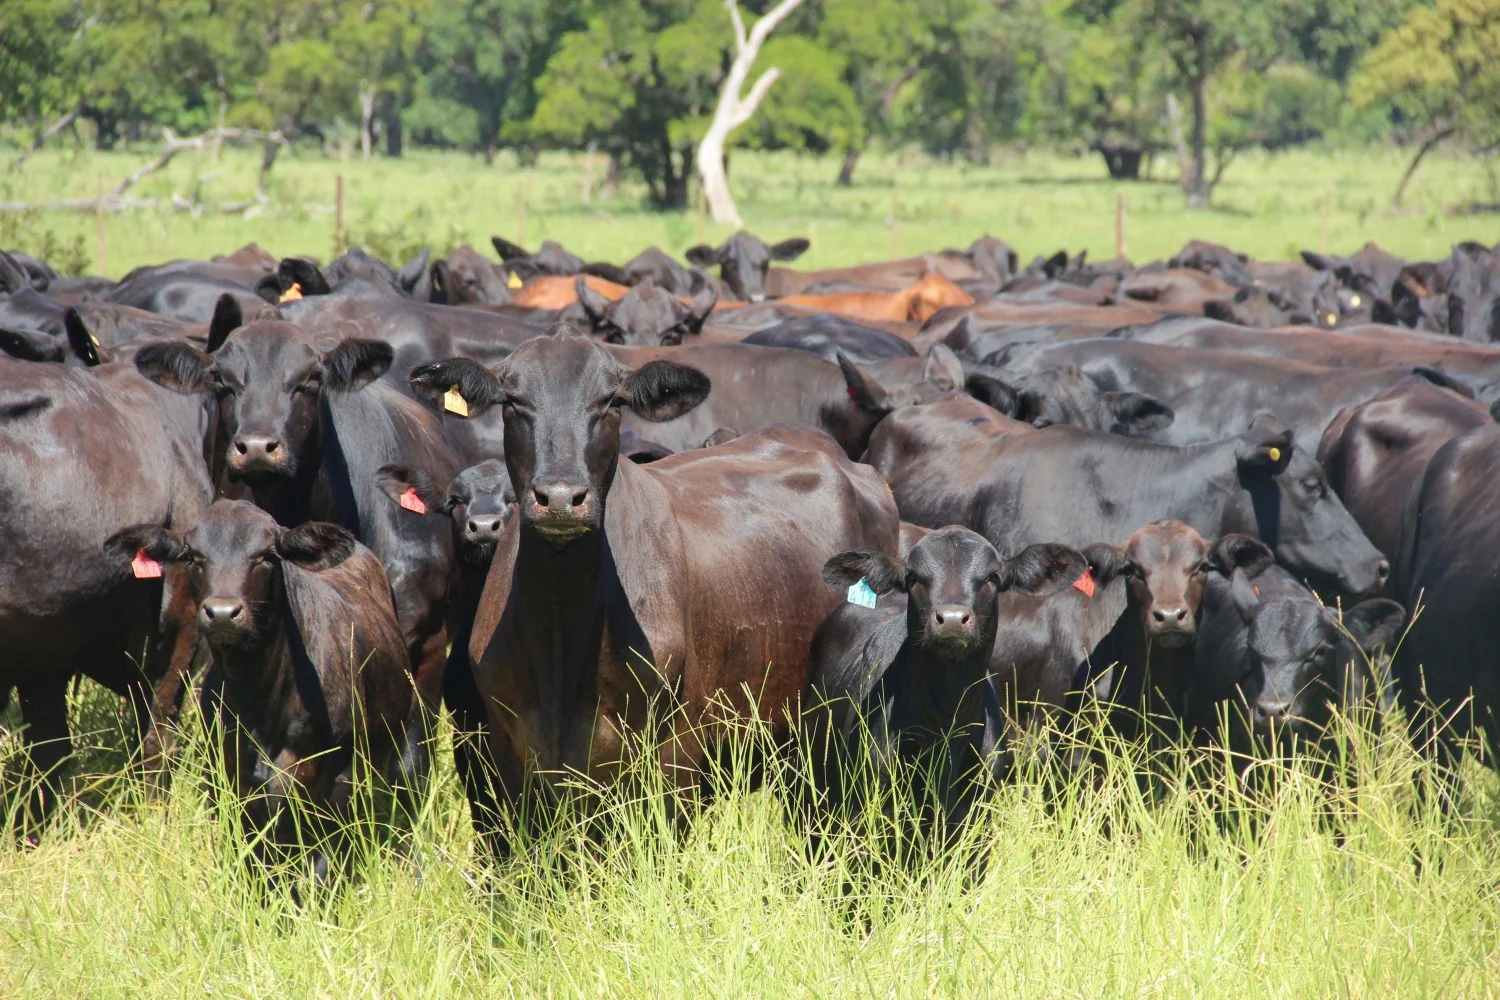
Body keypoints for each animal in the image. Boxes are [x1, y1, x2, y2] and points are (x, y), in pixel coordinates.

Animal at [104, 503, 418, 881]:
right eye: (193, 556)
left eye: (266, 555)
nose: (223, 613)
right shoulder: (228, 772)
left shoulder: (338, 774)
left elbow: (322, 857)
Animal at [406, 325, 900, 852]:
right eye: (513, 401)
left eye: (610, 401)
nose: (560, 499)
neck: (560, 632)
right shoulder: (502, 758)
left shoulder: (674, 760)